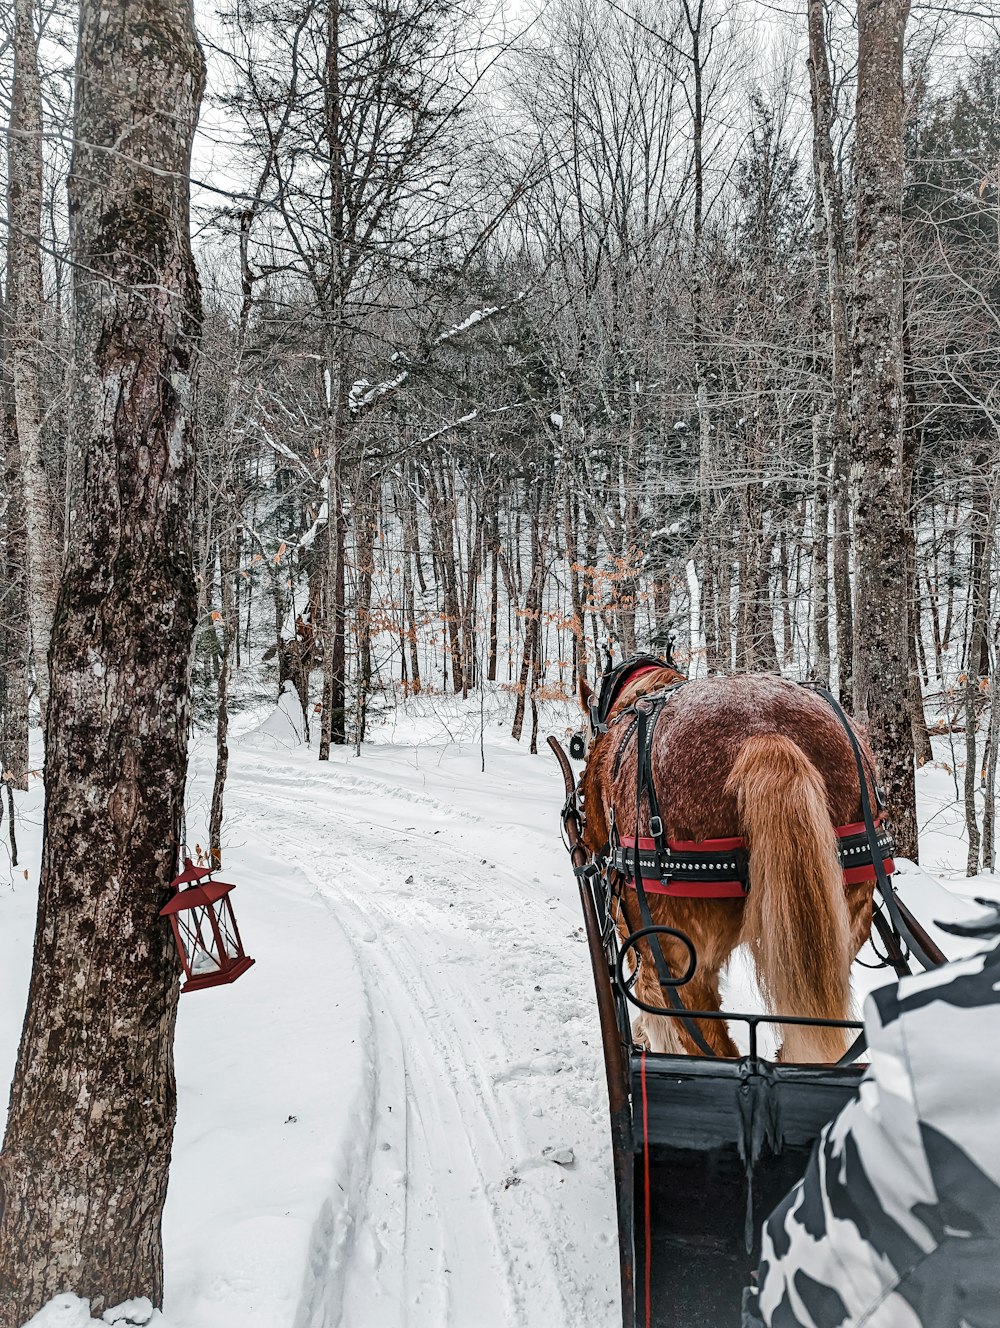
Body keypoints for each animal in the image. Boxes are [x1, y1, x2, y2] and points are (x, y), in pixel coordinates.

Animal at [576, 658, 881, 1062]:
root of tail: (765, 736)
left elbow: (650, 1005)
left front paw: (645, 1035)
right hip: (844, 922)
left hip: (679, 957)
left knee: (710, 1047)